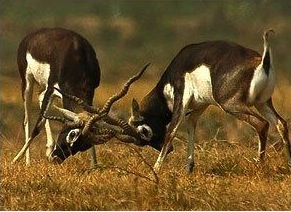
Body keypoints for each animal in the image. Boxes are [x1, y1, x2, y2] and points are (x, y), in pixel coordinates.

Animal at [12, 27, 101, 166]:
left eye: (84, 146)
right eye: (72, 134)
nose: (56, 159)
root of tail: (30, 36)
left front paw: (95, 166)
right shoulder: (51, 87)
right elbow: (38, 126)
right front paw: (15, 160)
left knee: (40, 96)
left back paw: (48, 148)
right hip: (27, 82)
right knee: (27, 120)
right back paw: (28, 162)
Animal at [129, 29, 291, 172]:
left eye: (144, 131)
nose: (169, 150)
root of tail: (263, 62)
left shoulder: (181, 98)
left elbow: (172, 131)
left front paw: (155, 170)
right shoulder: (201, 105)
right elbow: (191, 124)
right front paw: (188, 168)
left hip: (230, 104)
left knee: (262, 124)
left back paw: (259, 166)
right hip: (262, 103)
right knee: (281, 123)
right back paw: (288, 164)